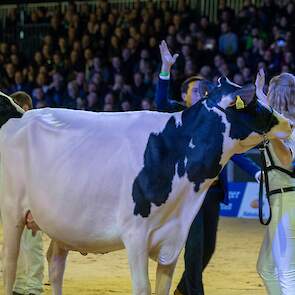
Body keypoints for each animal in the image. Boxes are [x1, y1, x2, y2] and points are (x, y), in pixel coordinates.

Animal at [0, 77, 292, 294]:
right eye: (254, 103)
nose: (289, 123)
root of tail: (21, 115)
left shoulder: (174, 237)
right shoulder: (135, 235)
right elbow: (142, 287)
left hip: (63, 222)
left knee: (56, 263)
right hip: (12, 213)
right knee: (10, 266)